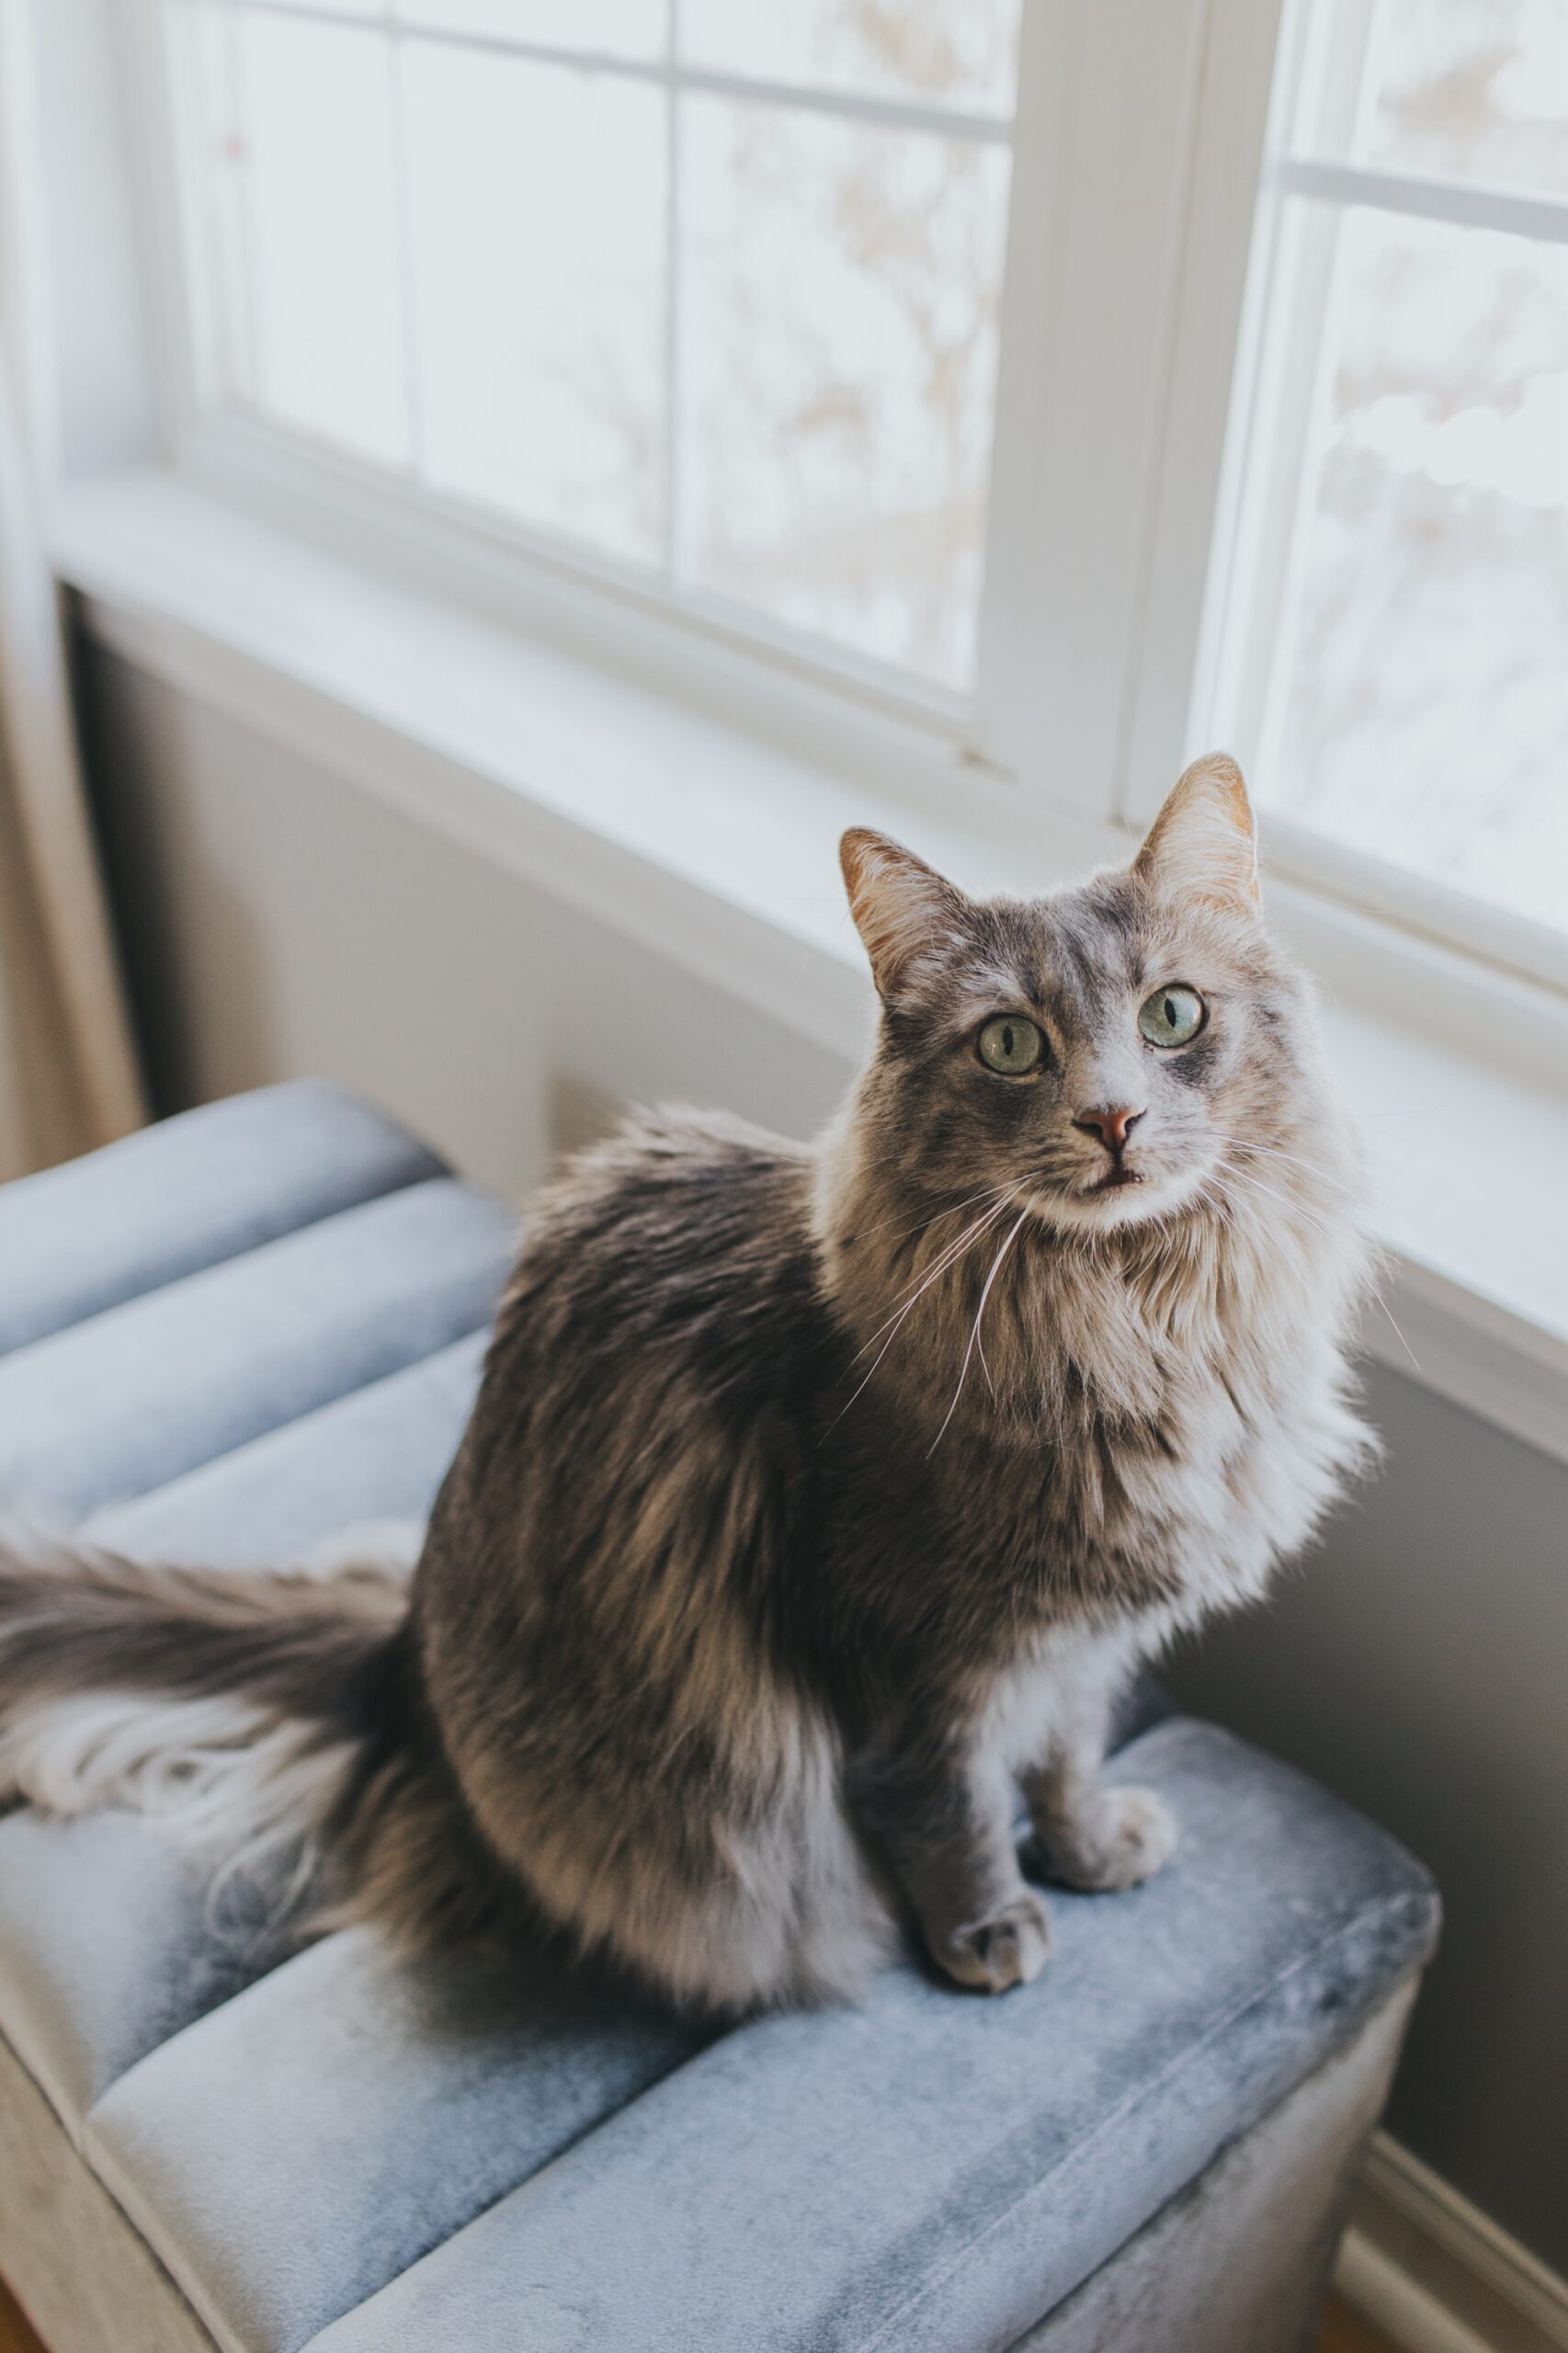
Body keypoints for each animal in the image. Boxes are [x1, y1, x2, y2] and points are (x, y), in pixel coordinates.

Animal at [0, 762, 1365, 2014]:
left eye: (1172, 1015)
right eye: (1011, 1043)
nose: (1113, 1120)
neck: (1137, 1325)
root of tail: (408, 1656)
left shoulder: (1085, 1640)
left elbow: (1067, 1761)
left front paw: (1089, 1850)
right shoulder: (905, 1659)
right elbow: (957, 1810)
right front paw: (986, 1931)